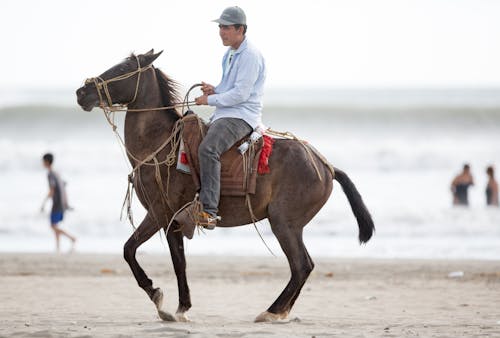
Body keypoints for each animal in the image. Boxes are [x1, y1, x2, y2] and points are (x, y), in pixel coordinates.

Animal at [73, 50, 372, 322]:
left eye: (123, 68)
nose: (81, 92)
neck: (161, 145)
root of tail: (326, 166)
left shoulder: (161, 213)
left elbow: (134, 251)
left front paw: (158, 295)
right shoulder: (173, 220)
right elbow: (174, 260)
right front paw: (179, 306)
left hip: (284, 223)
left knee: (300, 266)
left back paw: (272, 311)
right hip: (290, 226)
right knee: (305, 266)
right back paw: (281, 311)